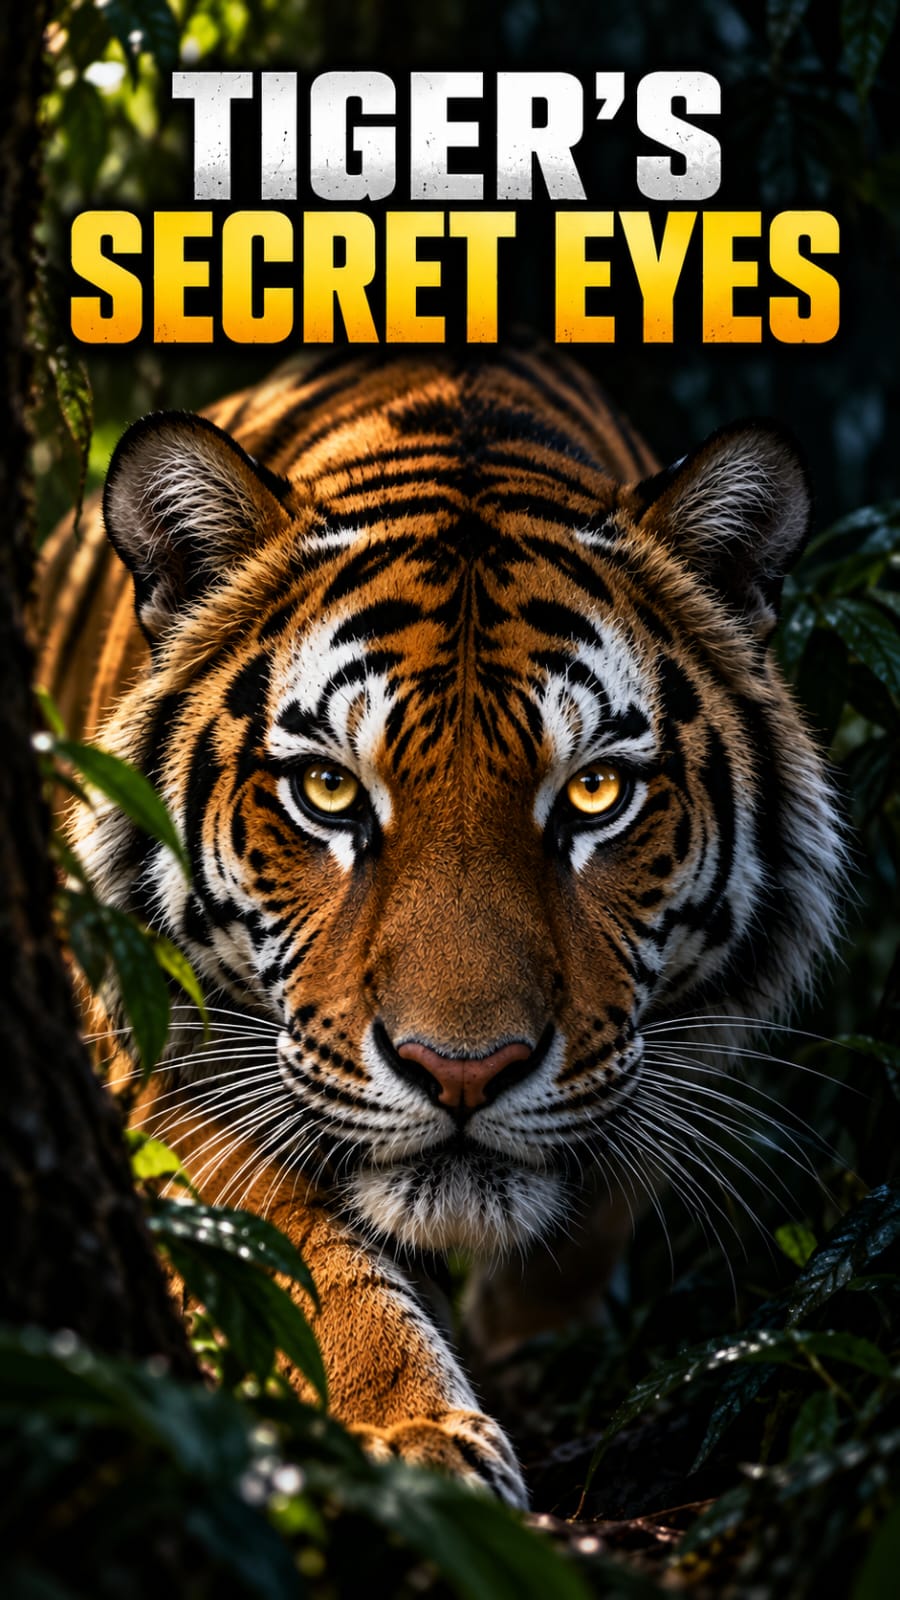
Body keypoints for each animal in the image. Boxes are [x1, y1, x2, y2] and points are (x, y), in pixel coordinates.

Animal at [37, 341, 844, 1508]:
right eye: (329, 790)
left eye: (596, 793)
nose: (463, 1071)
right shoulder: (156, 1044)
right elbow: (301, 1262)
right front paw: (410, 1437)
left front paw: (530, 1346)